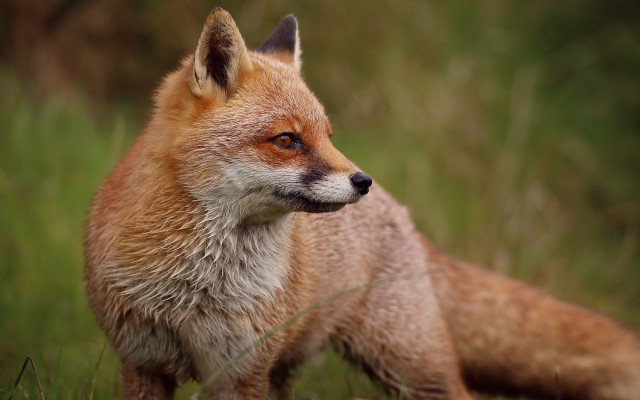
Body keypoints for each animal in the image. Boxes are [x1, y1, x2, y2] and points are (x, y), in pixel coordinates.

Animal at [84, 8, 640, 400]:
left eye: (328, 136)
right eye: (287, 140)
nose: (362, 180)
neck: (193, 291)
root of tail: (406, 217)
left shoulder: (241, 371)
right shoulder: (143, 364)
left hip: (408, 364)